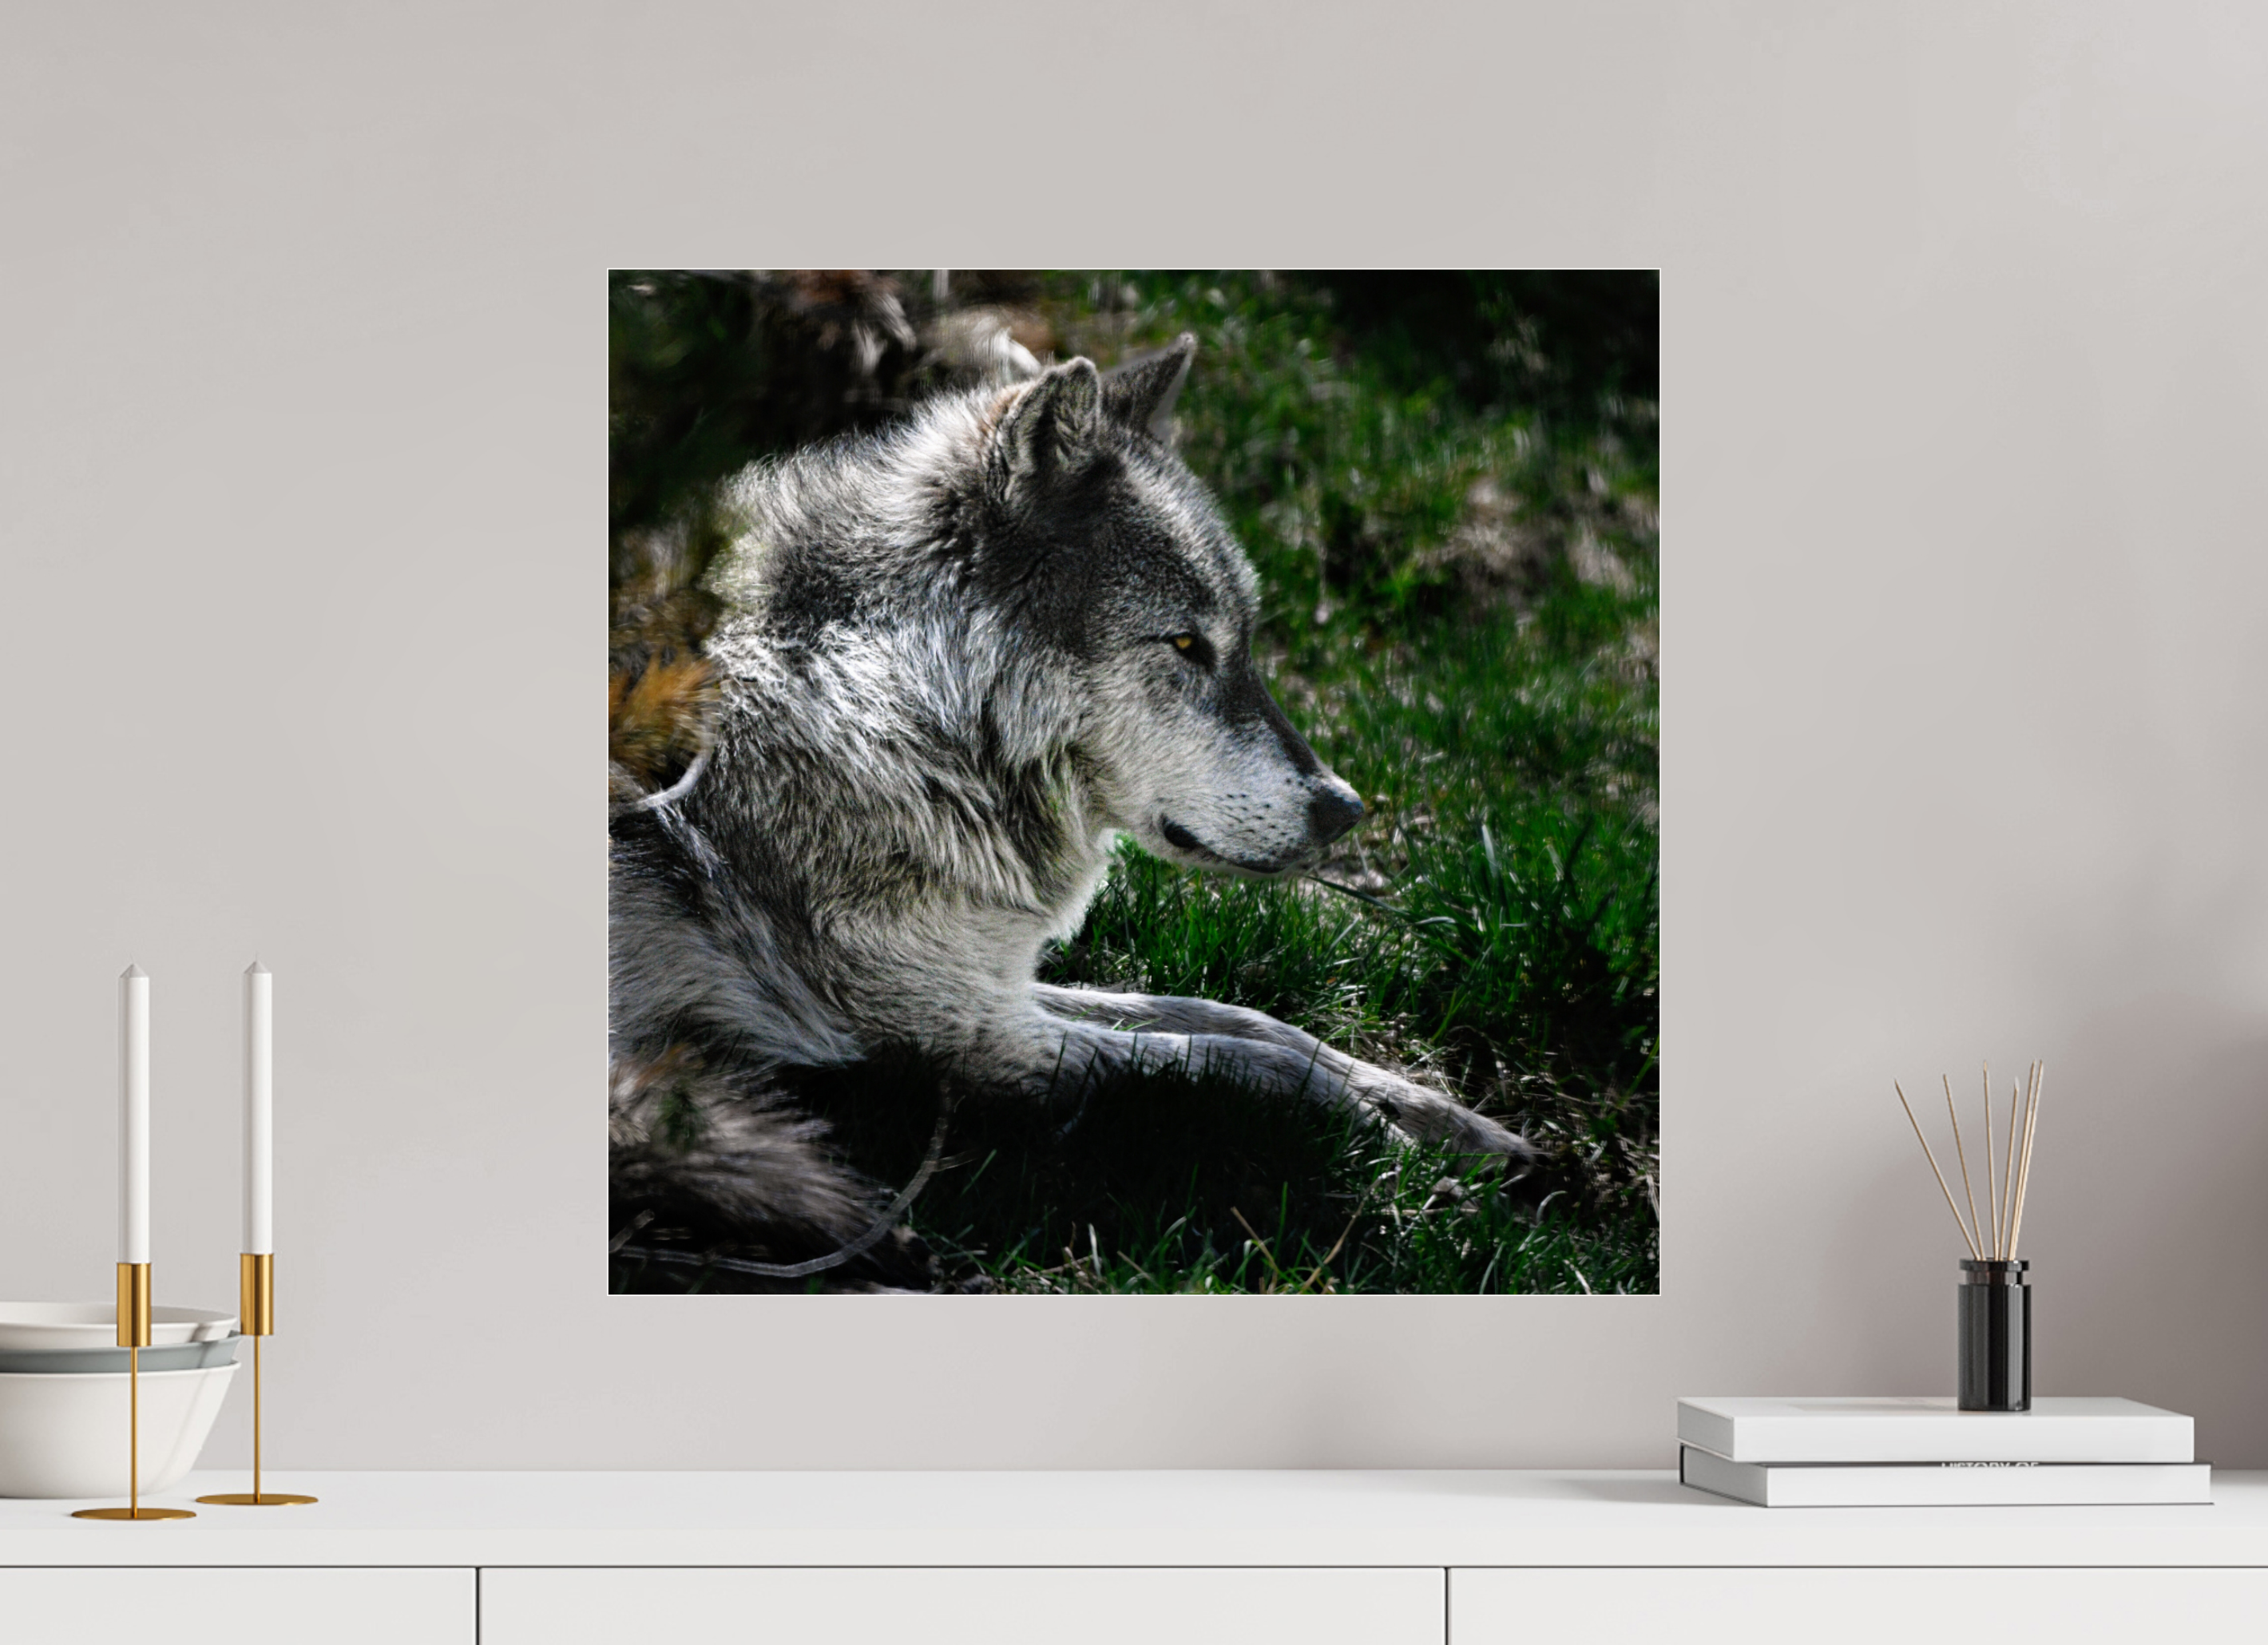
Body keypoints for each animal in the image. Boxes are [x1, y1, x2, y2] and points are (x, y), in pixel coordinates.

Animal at [610, 336, 1534, 1269]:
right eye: (1186, 643)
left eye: (1243, 643)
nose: (1345, 809)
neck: (881, 701)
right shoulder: (955, 1036)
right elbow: (1230, 1060)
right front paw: (1382, 1138)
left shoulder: (993, 983)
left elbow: (1246, 1019)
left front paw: (1450, 1121)